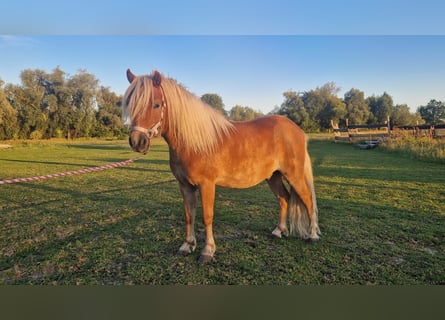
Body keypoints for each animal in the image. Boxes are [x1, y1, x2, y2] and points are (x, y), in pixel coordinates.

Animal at [122, 70, 320, 262]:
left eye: (156, 105)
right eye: (131, 105)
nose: (137, 142)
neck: (195, 143)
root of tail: (297, 130)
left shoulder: (207, 184)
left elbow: (207, 216)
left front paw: (207, 251)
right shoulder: (185, 185)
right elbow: (189, 215)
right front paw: (187, 245)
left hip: (294, 175)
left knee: (308, 199)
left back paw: (312, 236)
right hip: (273, 176)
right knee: (284, 198)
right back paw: (278, 231)